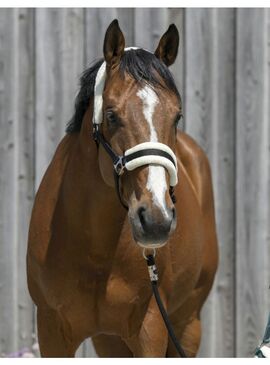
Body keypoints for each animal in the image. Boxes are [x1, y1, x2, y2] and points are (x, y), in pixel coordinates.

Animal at [26, 19, 218, 356]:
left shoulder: (151, 329)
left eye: (177, 115)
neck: (94, 250)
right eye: (112, 115)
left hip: (187, 324)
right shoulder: (51, 331)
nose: (156, 220)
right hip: (110, 340)